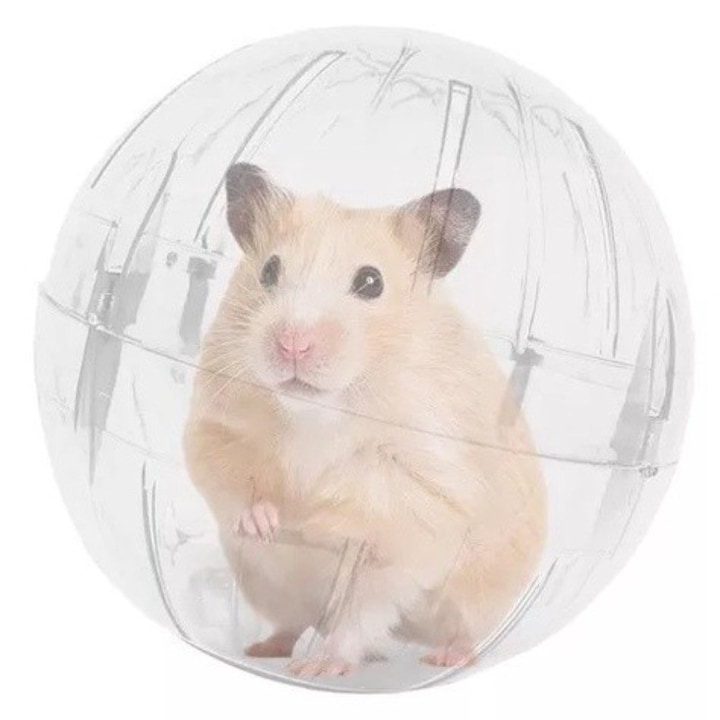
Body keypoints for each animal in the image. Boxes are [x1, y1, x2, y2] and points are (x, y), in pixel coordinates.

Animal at [184, 163, 547, 678]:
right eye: (269, 270)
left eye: (371, 282)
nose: (292, 344)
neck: (320, 410)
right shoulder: (216, 424)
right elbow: (229, 475)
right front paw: (270, 522)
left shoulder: (428, 483)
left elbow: (374, 503)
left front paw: (313, 523)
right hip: (269, 585)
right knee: (298, 623)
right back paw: (265, 649)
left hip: (465, 596)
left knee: (373, 625)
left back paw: (358, 664)